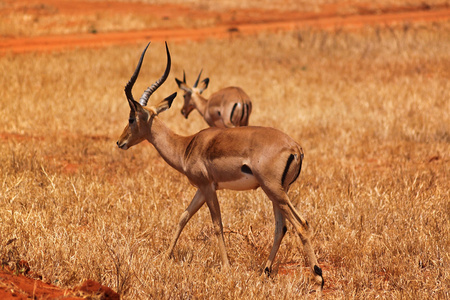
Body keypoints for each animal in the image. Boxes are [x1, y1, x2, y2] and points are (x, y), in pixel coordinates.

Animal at [117, 42, 324, 290]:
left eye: (131, 118)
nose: (120, 142)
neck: (187, 146)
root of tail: (295, 148)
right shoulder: (201, 188)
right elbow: (183, 217)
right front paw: (166, 256)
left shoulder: (208, 188)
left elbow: (217, 225)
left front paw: (226, 267)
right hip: (278, 192)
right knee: (280, 227)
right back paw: (264, 272)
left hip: (274, 190)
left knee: (301, 224)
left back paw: (318, 277)